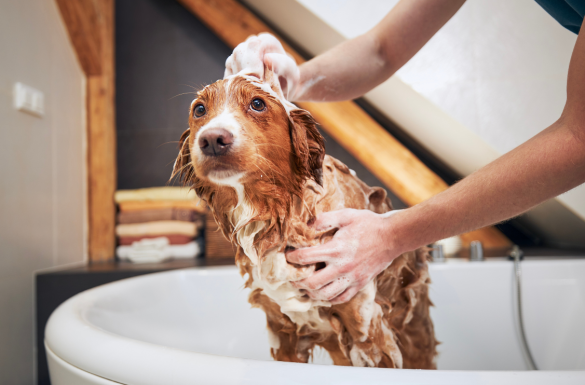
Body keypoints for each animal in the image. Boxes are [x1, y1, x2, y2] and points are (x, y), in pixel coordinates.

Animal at [171, 69, 436, 368]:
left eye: (257, 104)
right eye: (199, 109)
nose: (212, 139)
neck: (278, 216)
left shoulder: (367, 331)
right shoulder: (283, 332)